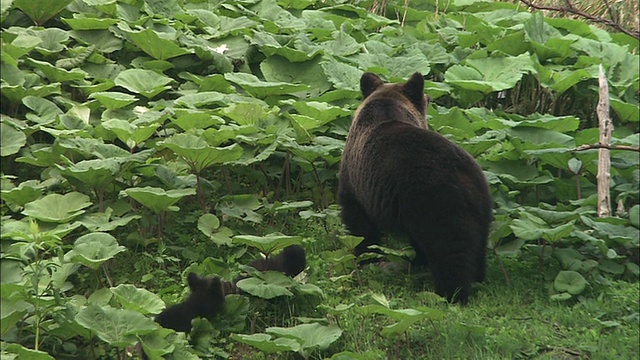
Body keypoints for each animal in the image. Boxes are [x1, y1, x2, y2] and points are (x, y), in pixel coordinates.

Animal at [338, 73, 492, 304]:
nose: (429, 97)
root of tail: (465, 175)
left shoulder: (357, 181)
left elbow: (360, 225)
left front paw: (364, 257)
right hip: (480, 207)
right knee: (478, 246)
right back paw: (477, 278)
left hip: (436, 202)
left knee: (449, 251)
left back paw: (451, 293)